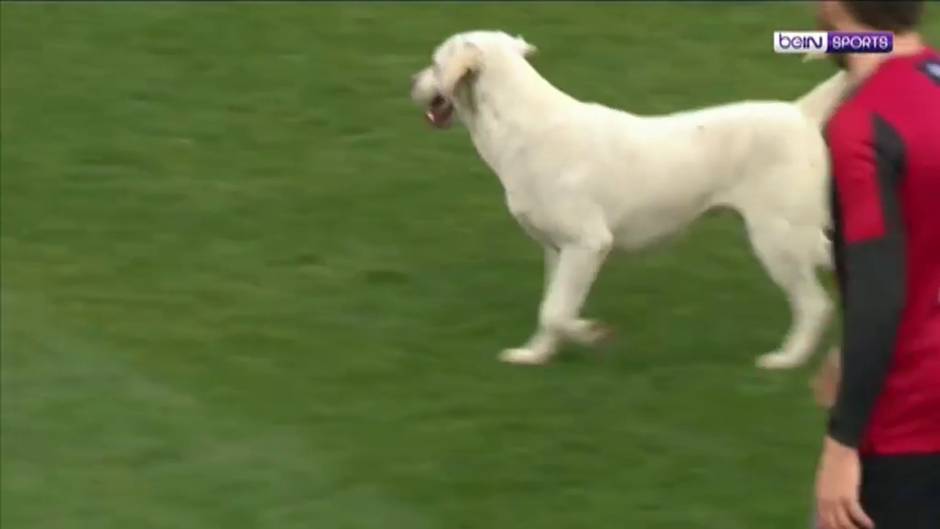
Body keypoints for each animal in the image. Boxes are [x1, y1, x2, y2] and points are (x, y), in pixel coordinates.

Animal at [412, 28, 852, 368]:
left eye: (434, 64)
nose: (411, 83)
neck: (524, 128)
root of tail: (801, 112)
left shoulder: (588, 244)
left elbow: (557, 312)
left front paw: (592, 334)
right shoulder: (558, 249)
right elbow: (552, 308)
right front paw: (536, 355)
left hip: (778, 239)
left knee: (814, 305)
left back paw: (786, 360)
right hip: (795, 236)